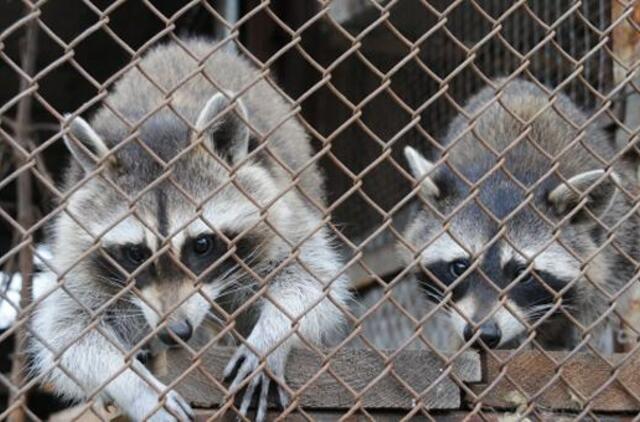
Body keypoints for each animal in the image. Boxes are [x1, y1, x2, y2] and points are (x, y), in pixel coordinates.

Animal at [30, 38, 350, 420]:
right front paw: (137, 387)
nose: (175, 332)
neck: (159, 123)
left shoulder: (279, 207)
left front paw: (272, 337)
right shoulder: (77, 248)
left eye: (201, 245)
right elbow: (69, 334)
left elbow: (311, 277)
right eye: (136, 253)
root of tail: (193, 43)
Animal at [402, 79, 636, 352]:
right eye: (459, 267)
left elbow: (601, 292)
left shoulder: (617, 238)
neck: (508, 175)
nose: (482, 334)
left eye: (523, 273)